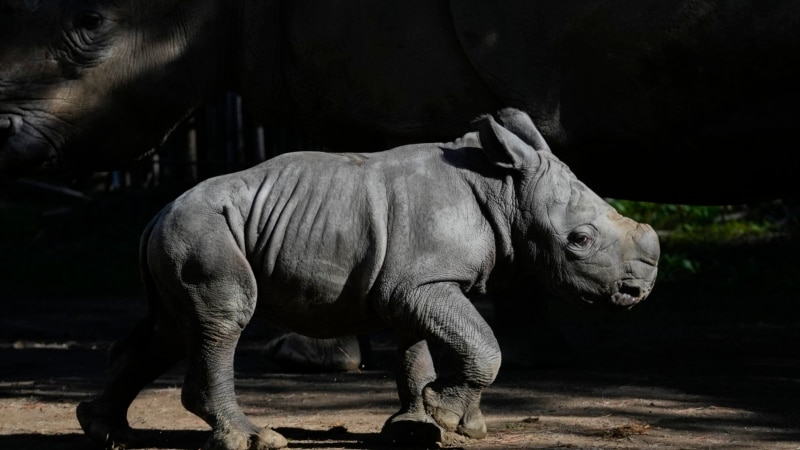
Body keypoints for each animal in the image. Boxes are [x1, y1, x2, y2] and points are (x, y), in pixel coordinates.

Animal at [78, 108, 660, 450]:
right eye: (579, 241)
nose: (637, 292)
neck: (505, 190)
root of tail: (156, 214)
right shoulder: (420, 282)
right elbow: (482, 343)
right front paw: (447, 416)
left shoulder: (410, 282)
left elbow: (417, 350)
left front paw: (431, 424)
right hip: (201, 229)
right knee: (222, 320)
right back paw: (254, 439)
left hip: (183, 233)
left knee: (171, 329)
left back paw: (105, 429)